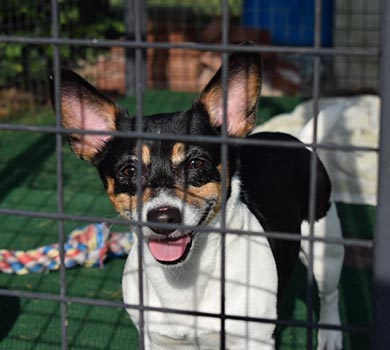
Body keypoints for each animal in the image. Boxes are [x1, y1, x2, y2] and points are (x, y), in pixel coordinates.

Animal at [51, 50, 344, 350]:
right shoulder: (156, 340)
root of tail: (296, 139)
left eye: (196, 163)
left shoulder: (255, 340)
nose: (163, 218)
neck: (184, 276)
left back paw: (330, 334)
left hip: (326, 247)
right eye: (129, 171)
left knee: (330, 293)